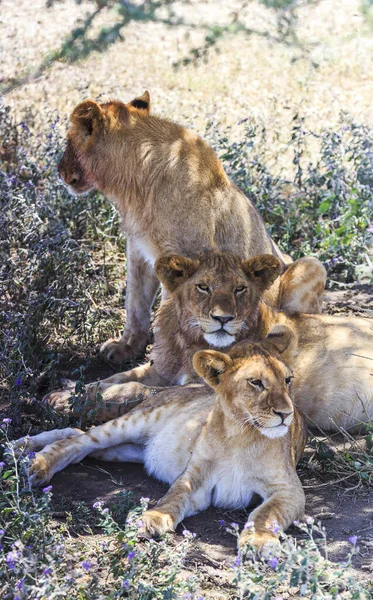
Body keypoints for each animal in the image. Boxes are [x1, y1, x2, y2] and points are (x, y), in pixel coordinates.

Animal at [13, 330, 306, 556]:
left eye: (288, 380)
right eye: (256, 382)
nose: (286, 414)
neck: (240, 433)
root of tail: (172, 387)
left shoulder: (289, 490)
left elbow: (265, 514)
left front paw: (258, 540)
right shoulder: (194, 477)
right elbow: (174, 495)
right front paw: (152, 518)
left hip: (125, 450)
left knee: (76, 437)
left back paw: (21, 448)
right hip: (133, 423)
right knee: (77, 441)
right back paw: (34, 461)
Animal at [48, 250, 372, 432]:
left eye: (240, 289)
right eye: (203, 287)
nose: (223, 318)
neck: (188, 341)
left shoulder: (204, 387)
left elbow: (133, 391)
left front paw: (66, 401)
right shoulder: (160, 369)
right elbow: (115, 379)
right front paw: (67, 391)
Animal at [57, 91, 322, 364]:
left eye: (68, 141)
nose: (59, 171)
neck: (134, 188)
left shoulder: (185, 257)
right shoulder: (139, 251)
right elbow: (135, 304)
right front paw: (126, 347)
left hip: (312, 264)